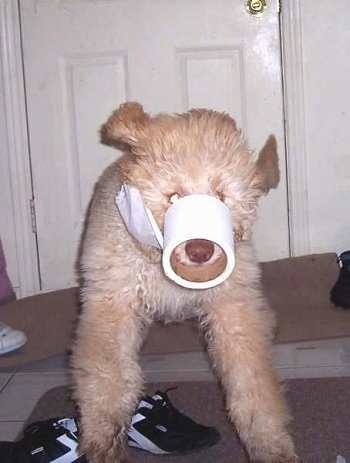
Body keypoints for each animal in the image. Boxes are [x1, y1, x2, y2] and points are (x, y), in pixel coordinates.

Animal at [70, 102, 298, 463]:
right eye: (173, 196)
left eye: (221, 195)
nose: (200, 250)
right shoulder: (111, 306)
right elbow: (106, 374)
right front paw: (102, 438)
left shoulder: (233, 310)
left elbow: (253, 382)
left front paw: (271, 445)